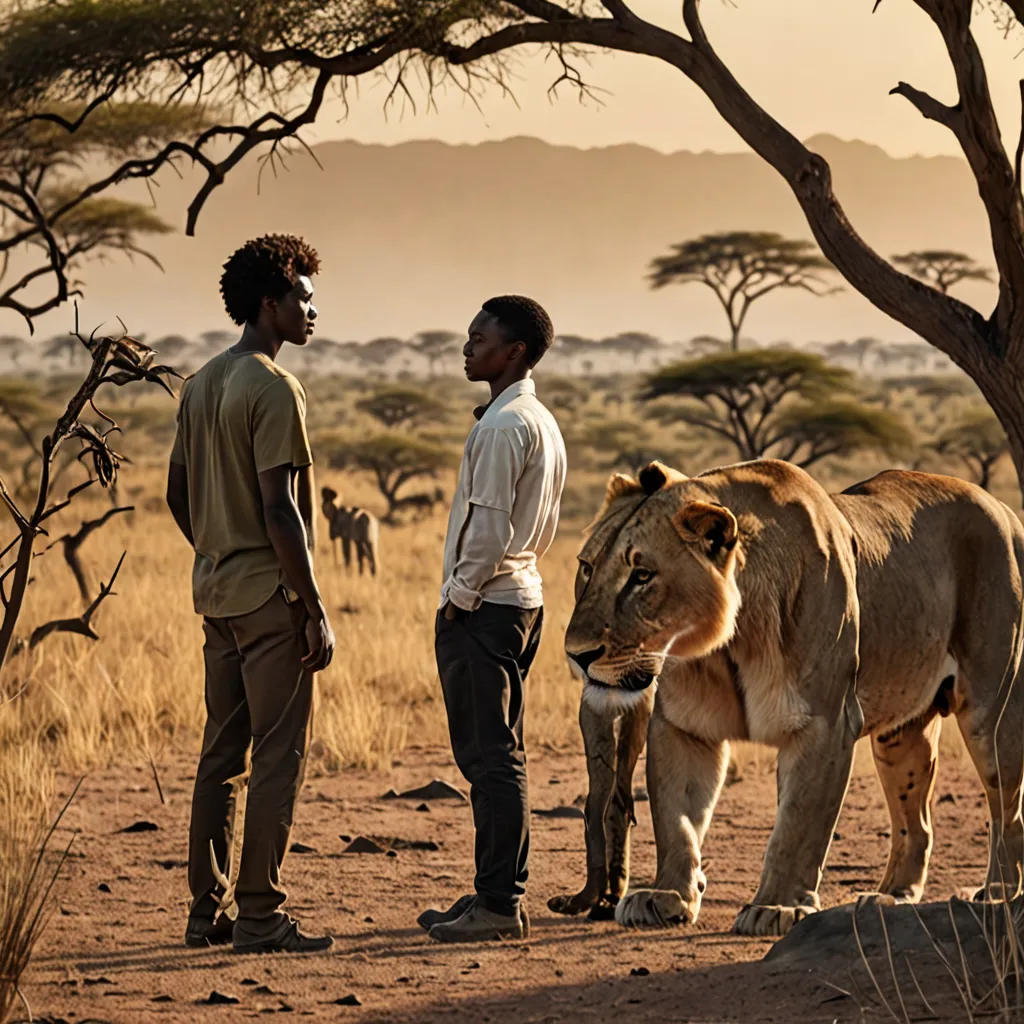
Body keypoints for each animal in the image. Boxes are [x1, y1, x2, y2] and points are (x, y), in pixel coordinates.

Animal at [549, 458, 1024, 937]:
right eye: (587, 566)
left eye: (642, 576)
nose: (577, 654)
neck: (726, 644)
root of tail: (1003, 509)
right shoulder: (683, 727)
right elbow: (675, 819)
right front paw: (668, 895)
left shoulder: (825, 725)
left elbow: (797, 826)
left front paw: (776, 907)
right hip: (900, 737)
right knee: (919, 824)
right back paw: (887, 898)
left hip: (992, 714)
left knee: (1007, 811)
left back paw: (996, 893)